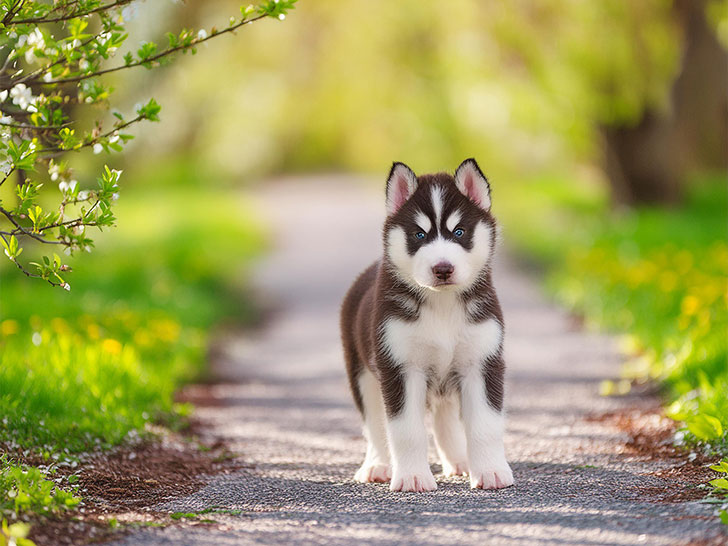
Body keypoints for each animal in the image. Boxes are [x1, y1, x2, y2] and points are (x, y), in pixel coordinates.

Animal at [340, 158, 516, 492]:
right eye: (419, 236)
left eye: (459, 232)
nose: (442, 268)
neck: (442, 306)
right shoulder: (400, 368)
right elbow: (405, 431)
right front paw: (412, 477)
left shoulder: (482, 363)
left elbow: (485, 425)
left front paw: (490, 471)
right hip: (362, 373)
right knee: (375, 425)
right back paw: (378, 465)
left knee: (443, 420)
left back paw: (459, 462)